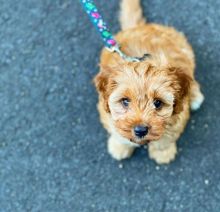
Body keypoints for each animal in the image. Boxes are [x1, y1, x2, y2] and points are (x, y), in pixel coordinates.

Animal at [93, 0, 204, 164]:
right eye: (125, 101)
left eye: (157, 103)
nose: (140, 130)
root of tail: (139, 26)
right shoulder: (106, 111)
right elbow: (118, 132)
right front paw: (119, 147)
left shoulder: (177, 117)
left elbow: (165, 138)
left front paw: (163, 153)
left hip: (185, 50)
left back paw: (196, 96)